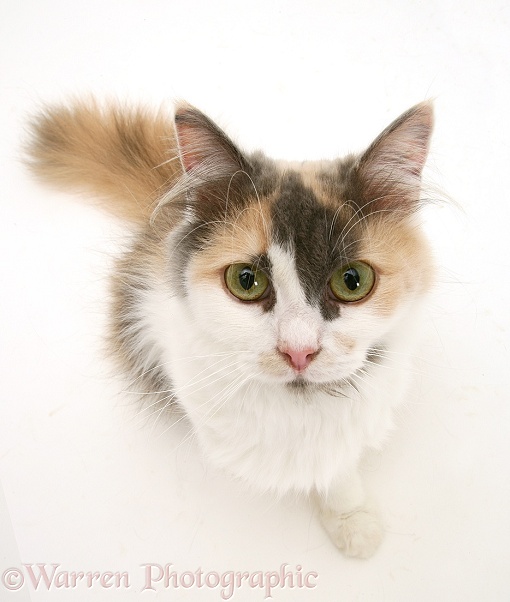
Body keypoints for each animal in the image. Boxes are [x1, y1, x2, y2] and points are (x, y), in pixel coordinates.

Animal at [26, 96, 434, 556]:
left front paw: (350, 516)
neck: (297, 409)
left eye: (353, 281)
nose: (298, 351)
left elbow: (336, 462)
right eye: (246, 281)